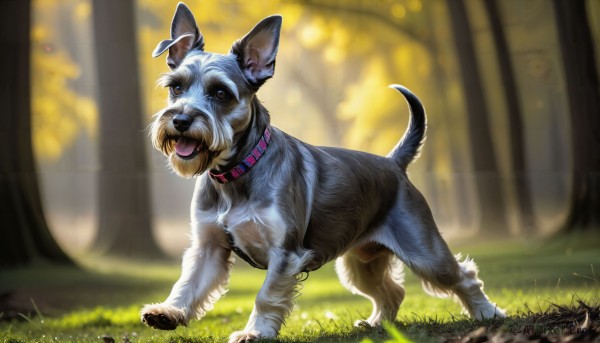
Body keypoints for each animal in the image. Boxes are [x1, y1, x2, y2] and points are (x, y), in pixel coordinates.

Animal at [142, 2, 506, 342]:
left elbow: (266, 296)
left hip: (424, 251)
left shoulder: (285, 253)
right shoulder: (209, 246)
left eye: (220, 93)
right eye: (176, 87)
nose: (181, 120)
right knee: (392, 290)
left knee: (462, 275)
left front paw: (255, 332)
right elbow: (189, 283)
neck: (236, 172)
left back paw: (488, 313)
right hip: (361, 262)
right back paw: (377, 323)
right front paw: (168, 312)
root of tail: (394, 163)